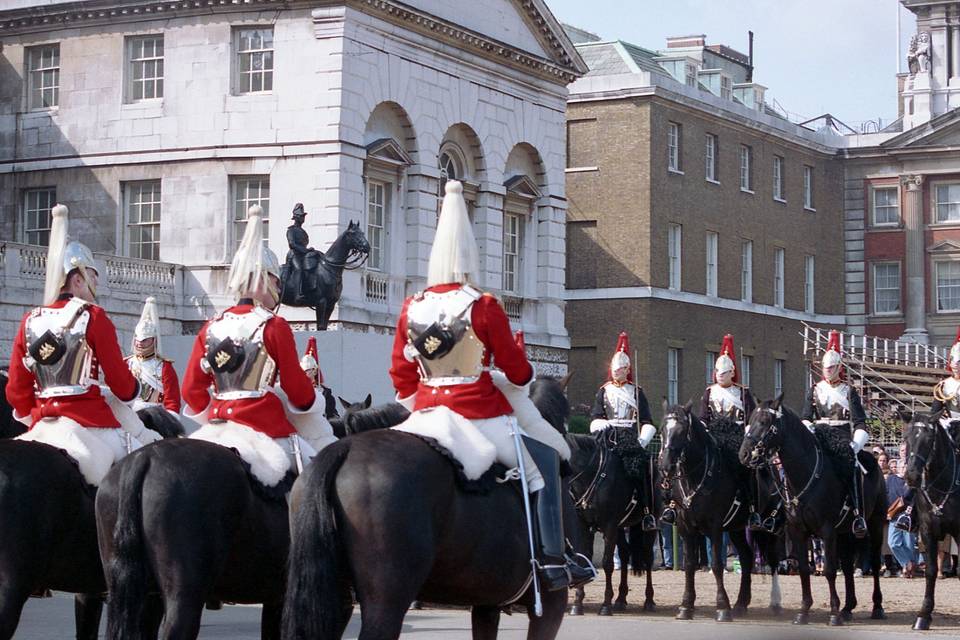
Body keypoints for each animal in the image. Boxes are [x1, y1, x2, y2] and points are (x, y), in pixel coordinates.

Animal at [568, 428, 656, 616]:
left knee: (647, 557)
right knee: (624, 554)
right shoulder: (583, 525)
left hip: (650, 527)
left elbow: (607, 563)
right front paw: (577, 603)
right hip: (621, 528)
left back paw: (649, 600)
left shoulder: (609, 526)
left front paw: (605, 605)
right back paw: (621, 599)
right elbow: (584, 559)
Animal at [664, 402, 784, 624]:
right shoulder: (686, 528)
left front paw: (722, 607)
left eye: (682, 431)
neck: (696, 478)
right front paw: (686, 606)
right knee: (746, 557)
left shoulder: (715, 528)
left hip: (770, 526)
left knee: (773, 560)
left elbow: (717, 565)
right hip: (737, 528)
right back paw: (741, 603)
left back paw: (775, 602)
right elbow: (689, 565)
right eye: (663, 430)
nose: (664, 464)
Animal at [744, 396, 884, 624]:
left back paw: (877, 607)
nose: (744, 454)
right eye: (750, 420)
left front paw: (833, 613)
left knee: (874, 561)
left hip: (875, 523)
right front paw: (804, 611)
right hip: (845, 533)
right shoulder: (798, 531)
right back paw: (848, 608)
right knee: (847, 566)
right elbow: (803, 569)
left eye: (765, 422)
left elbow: (828, 570)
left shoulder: (827, 531)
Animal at [900, 410, 960, 632]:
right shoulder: (927, 532)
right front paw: (923, 615)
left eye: (928, 440)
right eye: (906, 438)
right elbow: (931, 571)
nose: (912, 476)